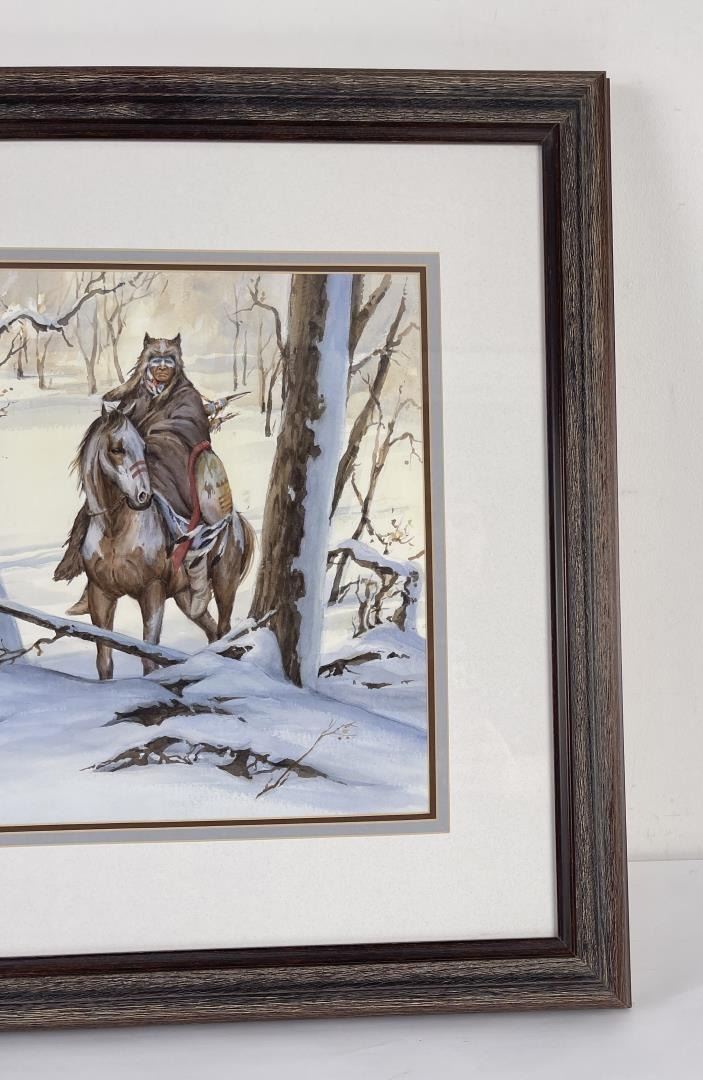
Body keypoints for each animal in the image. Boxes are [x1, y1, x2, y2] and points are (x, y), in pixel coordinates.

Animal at [75, 403, 255, 680]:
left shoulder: (152, 591)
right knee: (211, 630)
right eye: (117, 449)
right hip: (185, 596)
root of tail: (235, 518)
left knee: (224, 629)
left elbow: (149, 655)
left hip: (225, 585)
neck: (115, 533)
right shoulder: (100, 595)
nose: (143, 496)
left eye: (143, 447)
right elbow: (104, 661)